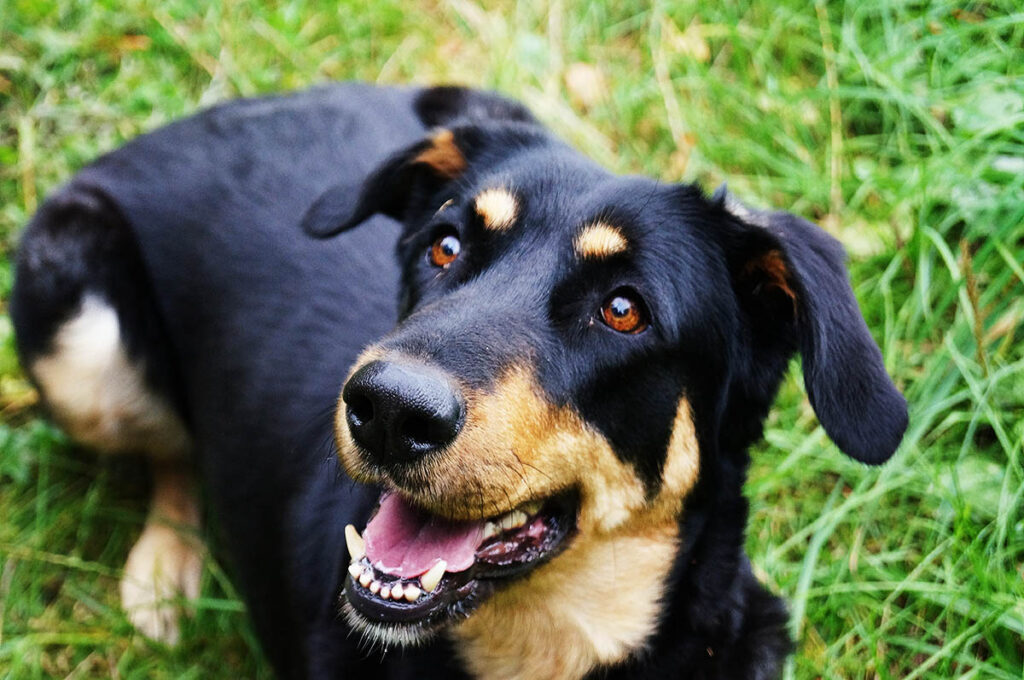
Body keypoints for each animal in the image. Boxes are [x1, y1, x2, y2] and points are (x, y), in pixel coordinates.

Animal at [12, 85, 909, 680]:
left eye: (624, 310)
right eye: (443, 247)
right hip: (82, 336)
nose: (384, 410)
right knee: (169, 449)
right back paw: (167, 569)